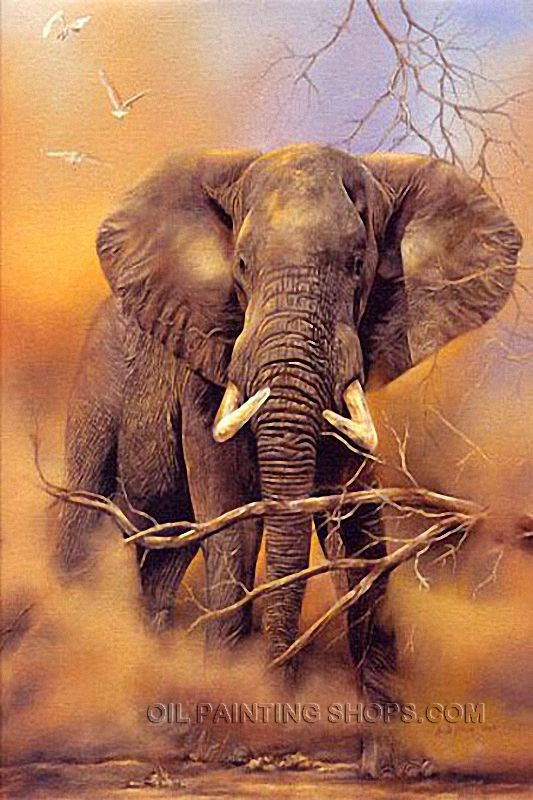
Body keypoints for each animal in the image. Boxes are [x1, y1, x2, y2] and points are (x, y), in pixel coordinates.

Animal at [57, 143, 521, 768]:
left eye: (357, 264)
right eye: (242, 266)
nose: (278, 730)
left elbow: (358, 533)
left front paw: (398, 763)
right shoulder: (208, 361)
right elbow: (234, 528)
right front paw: (223, 750)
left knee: (163, 556)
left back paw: (156, 727)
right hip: (96, 385)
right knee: (83, 528)